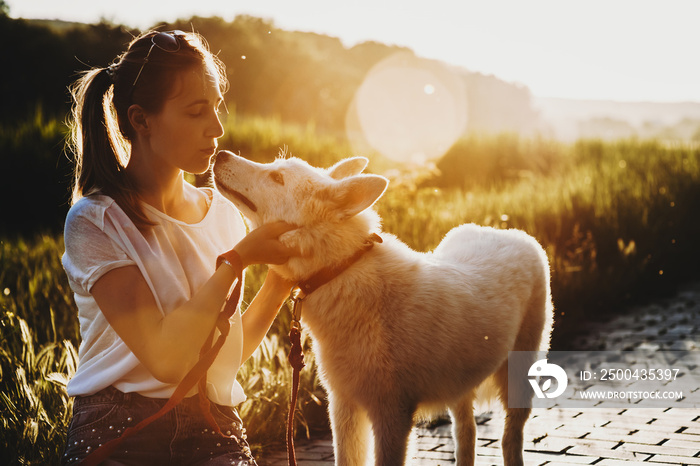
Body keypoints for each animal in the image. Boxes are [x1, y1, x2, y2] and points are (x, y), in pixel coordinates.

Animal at [213, 152, 552, 466]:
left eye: (277, 178)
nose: (221, 154)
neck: (340, 272)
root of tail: (509, 232)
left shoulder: (391, 414)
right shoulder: (343, 406)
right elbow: (346, 459)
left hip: (517, 382)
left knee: (510, 439)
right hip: (460, 383)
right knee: (467, 433)